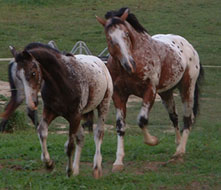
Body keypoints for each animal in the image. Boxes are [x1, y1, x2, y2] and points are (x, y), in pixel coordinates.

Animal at [9, 43, 113, 178]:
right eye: (18, 76)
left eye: (33, 73)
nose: (32, 104)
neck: (63, 81)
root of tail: (100, 62)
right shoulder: (51, 111)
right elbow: (42, 131)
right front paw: (49, 164)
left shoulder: (74, 115)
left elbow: (69, 146)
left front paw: (68, 171)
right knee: (81, 138)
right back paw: (76, 169)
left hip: (103, 106)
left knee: (98, 134)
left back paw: (96, 167)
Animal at [96, 7, 203, 171]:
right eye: (110, 39)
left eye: (126, 34)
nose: (129, 65)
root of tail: (189, 46)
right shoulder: (119, 96)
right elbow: (120, 127)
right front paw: (118, 161)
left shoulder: (150, 92)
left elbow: (142, 120)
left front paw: (153, 141)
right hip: (166, 93)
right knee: (174, 117)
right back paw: (177, 144)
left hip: (187, 89)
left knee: (187, 118)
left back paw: (179, 152)